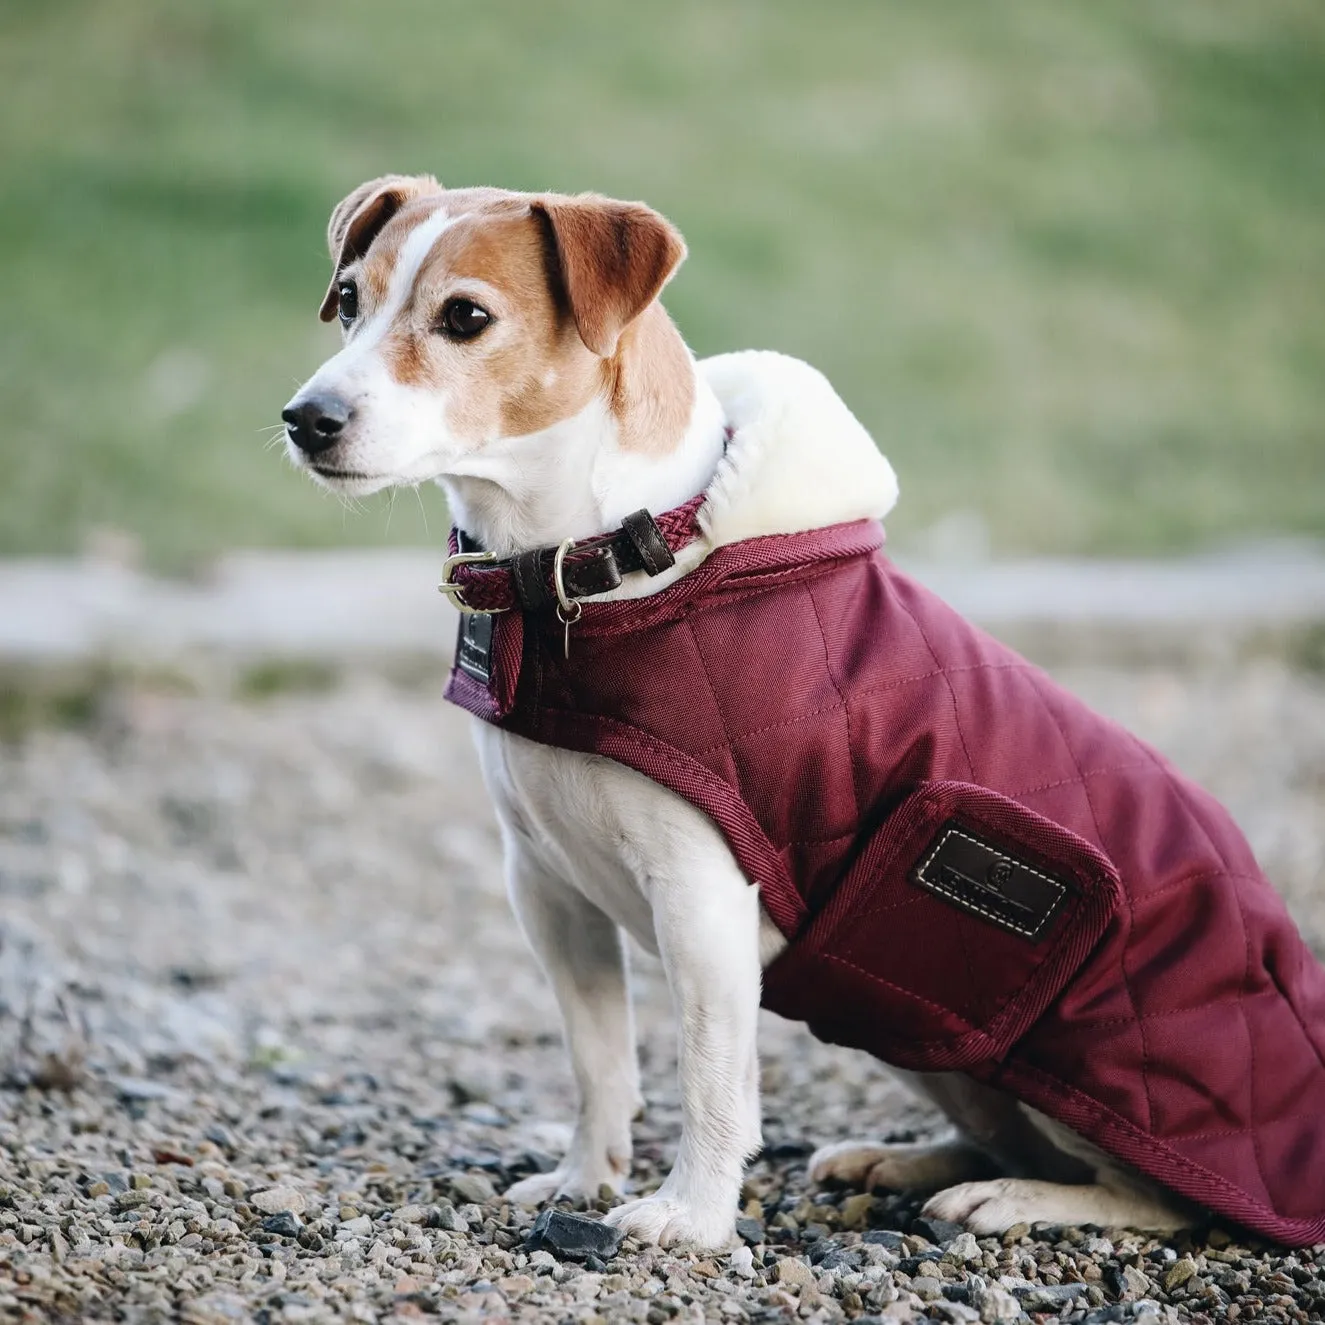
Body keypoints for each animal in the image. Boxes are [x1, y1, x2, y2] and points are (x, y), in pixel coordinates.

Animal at [284, 178, 1325, 1250]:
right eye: (349, 299)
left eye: (465, 317)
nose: (304, 418)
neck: (601, 562)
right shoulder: (548, 888)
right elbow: (599, 1058)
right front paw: (585, 1176)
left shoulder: (701, 898)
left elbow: (708, 1076)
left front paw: (691, 1214)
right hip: (909, 1022)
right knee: (995, 1127)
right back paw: (906, 1159)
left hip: (1079, 1068)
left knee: (1158, 1199)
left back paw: (1016, 1199)